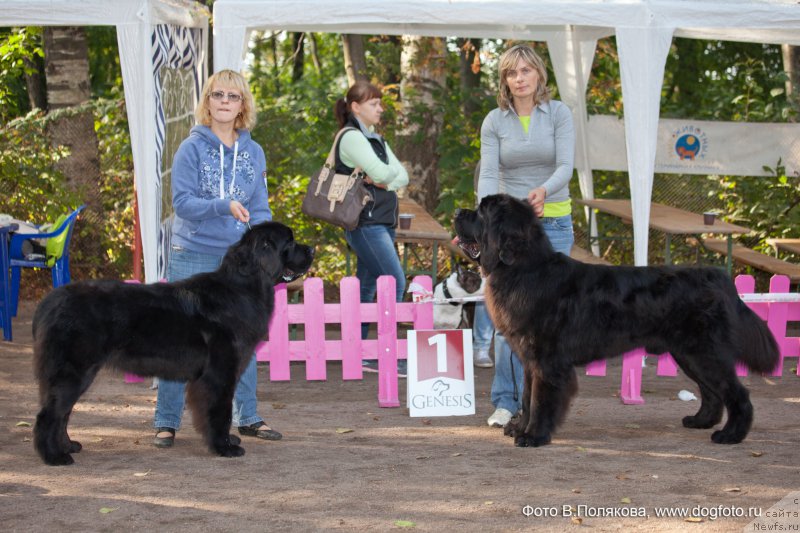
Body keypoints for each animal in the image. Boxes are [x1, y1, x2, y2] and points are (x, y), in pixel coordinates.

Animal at [35, 218, 316, 464]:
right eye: (289, 242)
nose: (312, 249)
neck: (243, 287)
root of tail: (52, 300)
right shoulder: (219, 373)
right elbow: (220, 412)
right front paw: (224, 447)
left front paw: (227, 441)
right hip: (74, 371)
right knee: (49, 414)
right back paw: (54, 456)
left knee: (62, 413)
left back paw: (68, 446)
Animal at [460, 193, 780, 446]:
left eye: (482, 212)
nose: (458, 213)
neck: (524, 269)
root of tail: (717, 276)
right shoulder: (529, 359)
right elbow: (527, 398)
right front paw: (520, 429)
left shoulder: (547, 361)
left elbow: (540, 400)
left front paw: (534, 436)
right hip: (689, 354)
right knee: (711, 392)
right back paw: (700, 421)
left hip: (705, 352)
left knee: (737, 393)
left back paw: (730, 435)